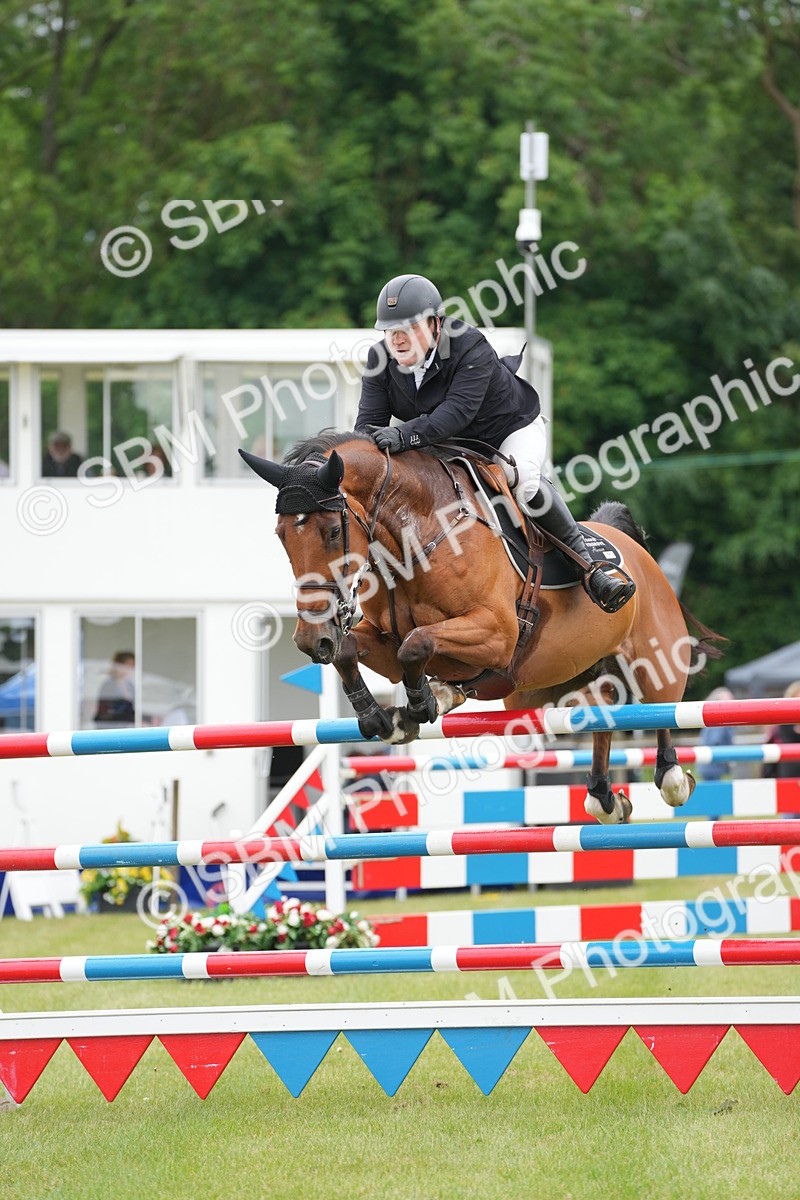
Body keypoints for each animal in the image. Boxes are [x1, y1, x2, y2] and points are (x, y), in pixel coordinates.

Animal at [241, 431, 724, 824]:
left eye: (329, 531)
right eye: (282, 535)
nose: (310, 640)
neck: (417, 536)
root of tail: (636, 552)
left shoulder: (496, 635)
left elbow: (416, 644)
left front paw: (420, 703)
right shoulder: (386, 644)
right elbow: (361, 650)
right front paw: (383, 714)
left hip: (654, 661)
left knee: (661, 710)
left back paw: (672, 778)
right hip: (547, 687)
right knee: (604, 703)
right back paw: (605, 797)